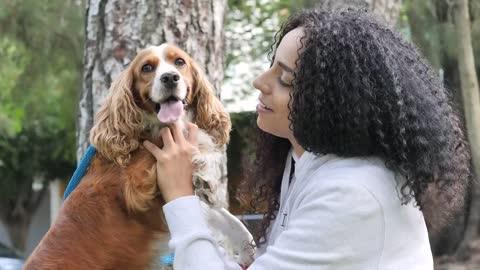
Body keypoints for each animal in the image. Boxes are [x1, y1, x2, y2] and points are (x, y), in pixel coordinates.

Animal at [23, 44, 255, 270]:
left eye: (179, 61)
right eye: (147, 68)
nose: (170, 77)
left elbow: (222, 215)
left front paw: (245, 245)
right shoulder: (139, 185)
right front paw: (204, 167)